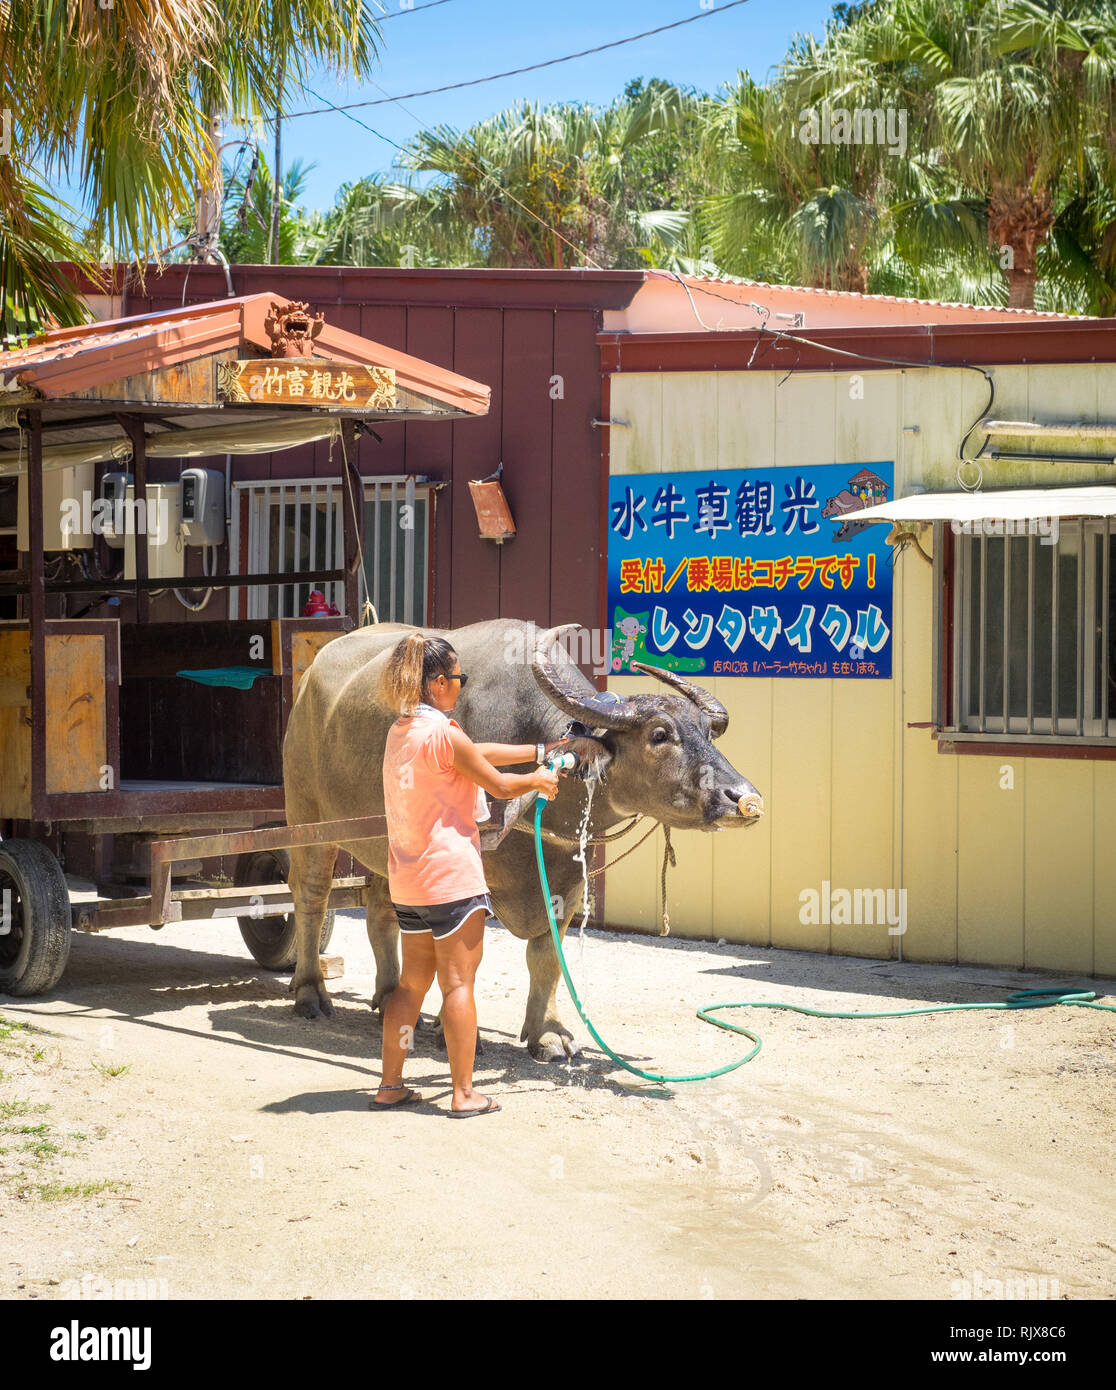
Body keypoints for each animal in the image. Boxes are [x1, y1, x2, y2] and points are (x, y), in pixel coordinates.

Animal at [283, 614, 761, 1056]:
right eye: (660, 734)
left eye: (708, 733)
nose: (744, 798)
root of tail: (307, 683)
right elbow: (464, 953)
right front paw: (456, 1033)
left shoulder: (568, 876)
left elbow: (547, 955)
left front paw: (548, 1033)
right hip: (308, 819)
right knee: (311, 897)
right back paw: (310, 992)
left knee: (382, 909)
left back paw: (392, 1001)